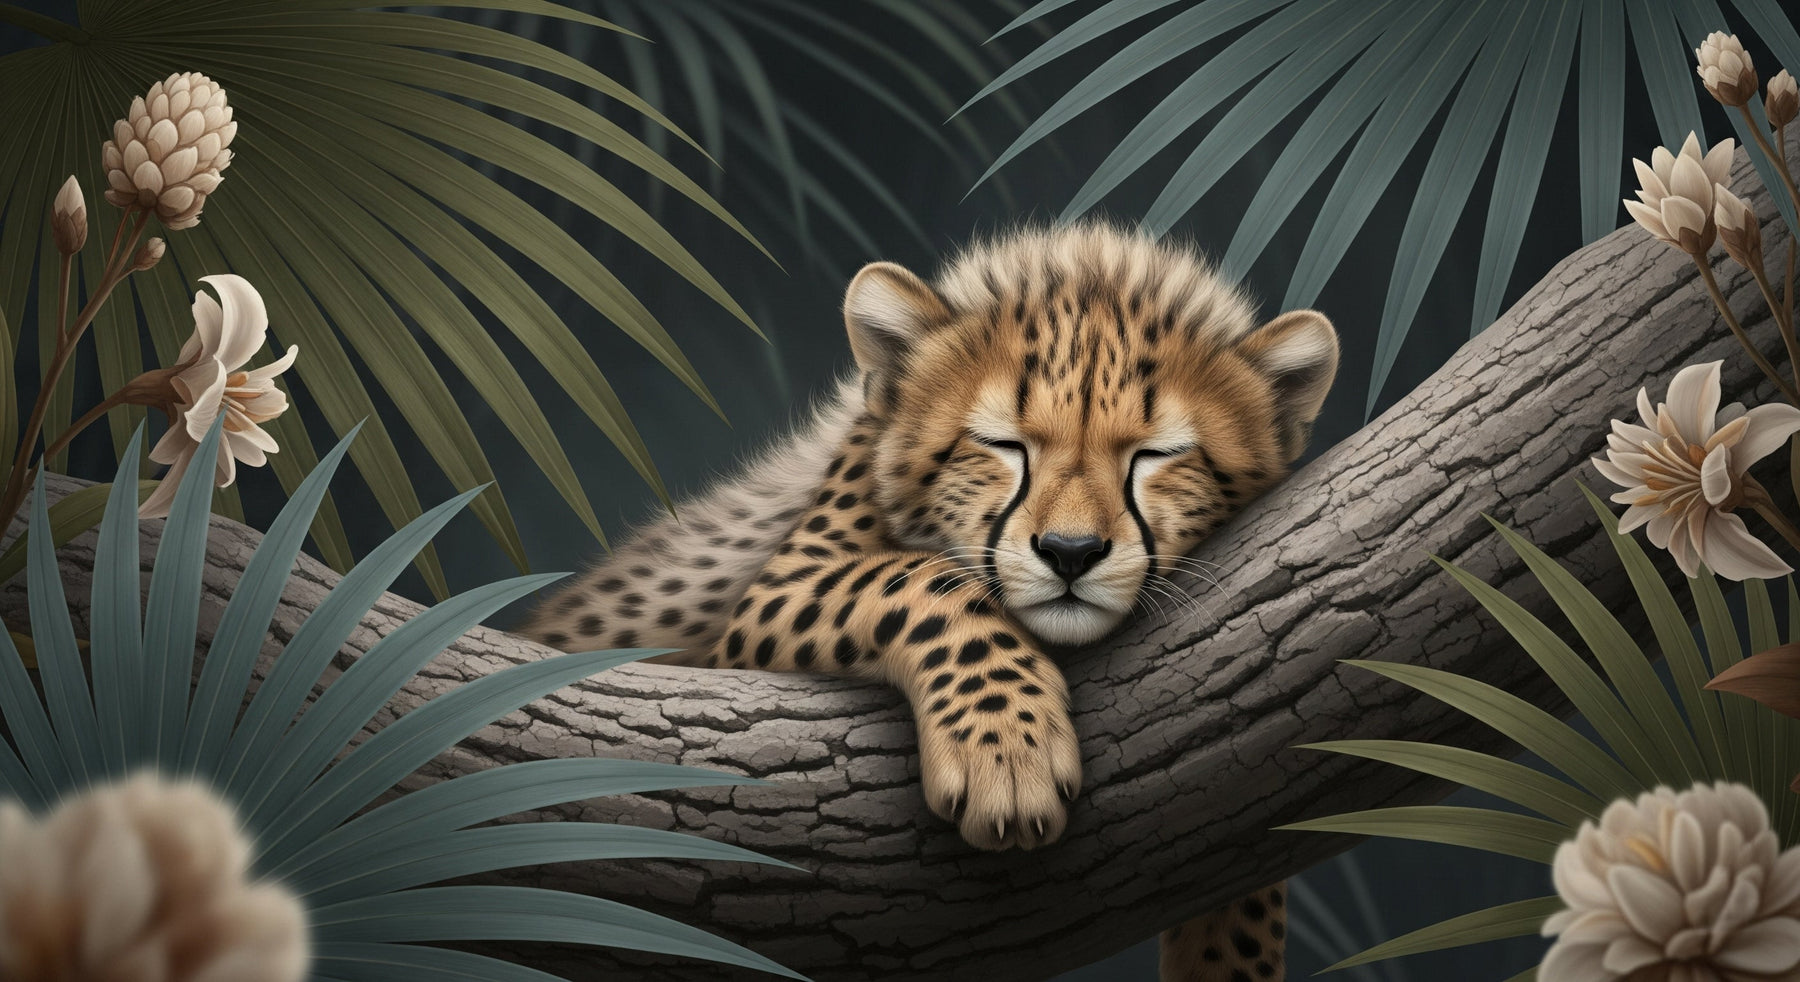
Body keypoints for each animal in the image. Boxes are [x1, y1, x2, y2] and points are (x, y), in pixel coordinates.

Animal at [521, 221, 1339, 981]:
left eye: (1158, 455)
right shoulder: (774, 595)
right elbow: (921, 578)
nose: (1071, 553)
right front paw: (1006, 753)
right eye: (1002, 445)